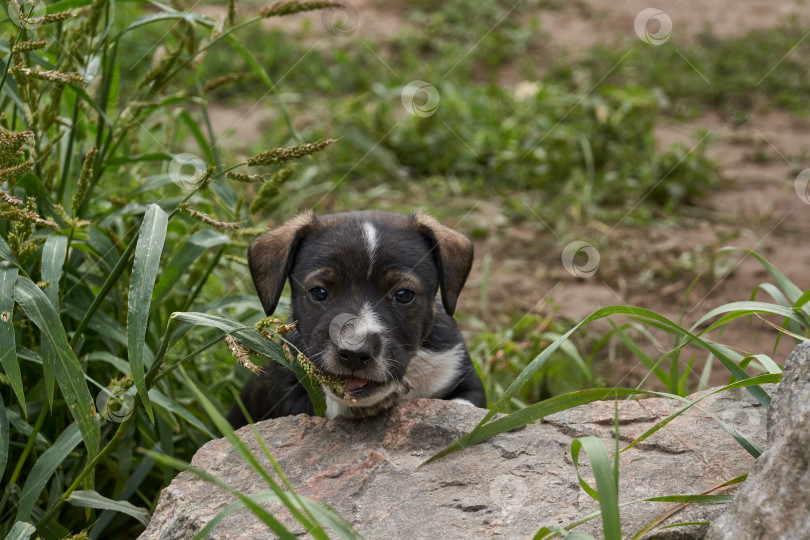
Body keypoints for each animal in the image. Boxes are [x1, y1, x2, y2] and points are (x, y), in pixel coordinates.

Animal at [224, 209, 482, 428]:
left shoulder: (463, 377)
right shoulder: (289, 391)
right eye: (319, 292)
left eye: (403, 295)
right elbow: (328, 405)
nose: (355, 354)